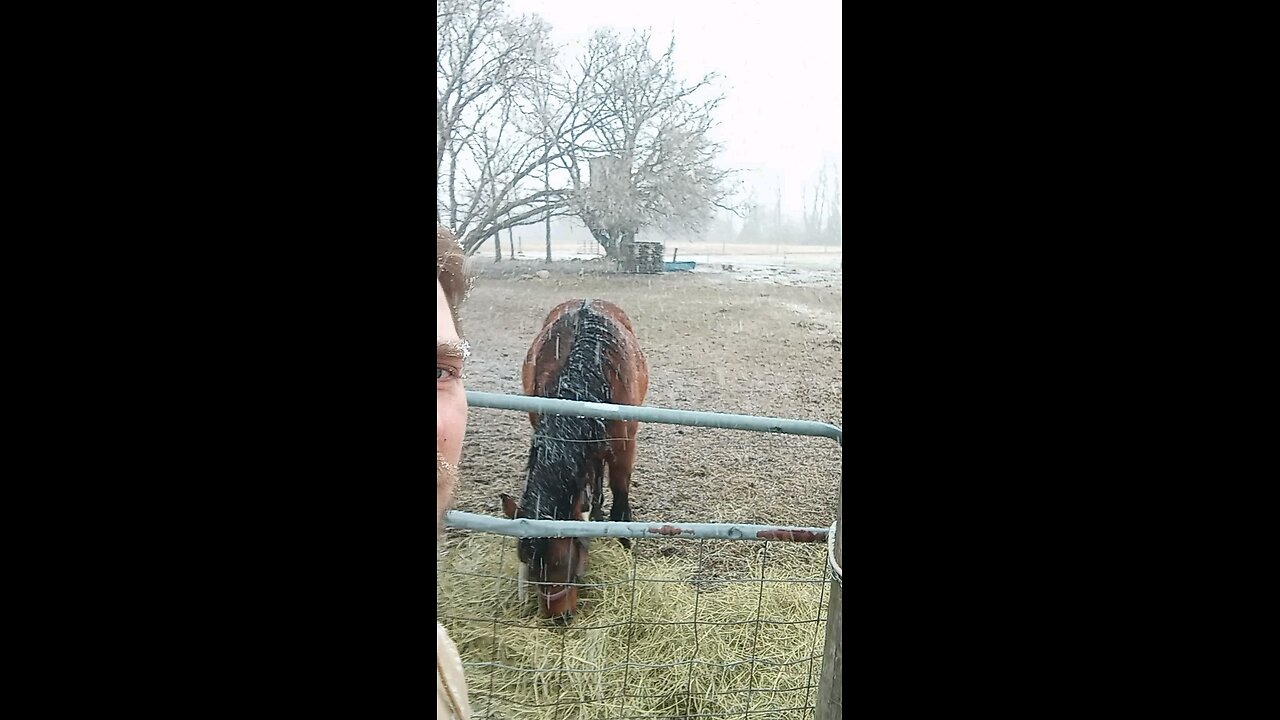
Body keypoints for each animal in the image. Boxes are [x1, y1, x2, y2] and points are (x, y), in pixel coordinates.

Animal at [499, 295, 650, 617]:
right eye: (529, 563)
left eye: (560, 560)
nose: (559, 618)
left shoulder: (624, 448)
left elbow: (621, 499)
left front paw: (625, 544)